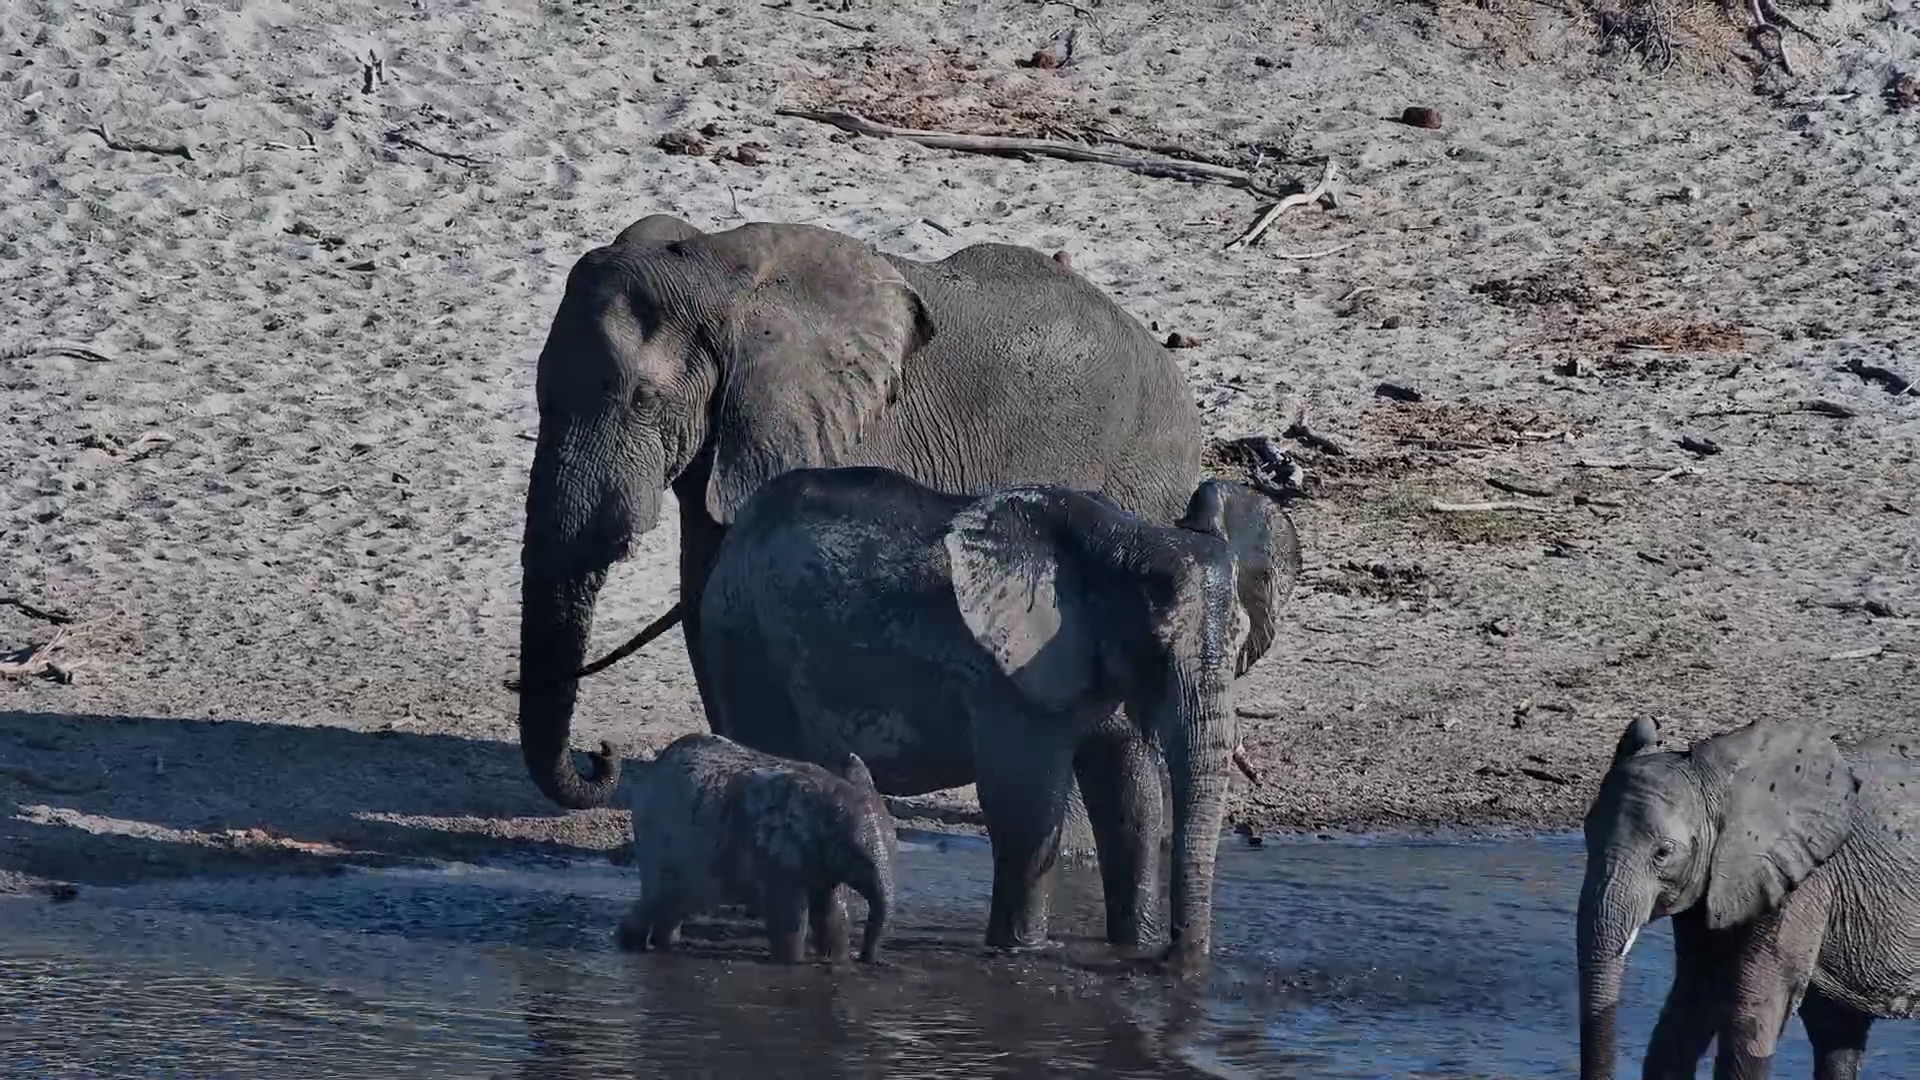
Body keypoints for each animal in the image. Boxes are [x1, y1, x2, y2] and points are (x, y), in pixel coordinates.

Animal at [619, 732, 898, 964]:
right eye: (857, 855)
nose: (865, 959)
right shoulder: (776, 857)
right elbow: (790, 920)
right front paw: (792, 964)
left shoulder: (822, 862)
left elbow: (833, 915)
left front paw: (837, 962)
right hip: (658, 839)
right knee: (660, 897)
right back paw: (629, 945)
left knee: (675, 905)